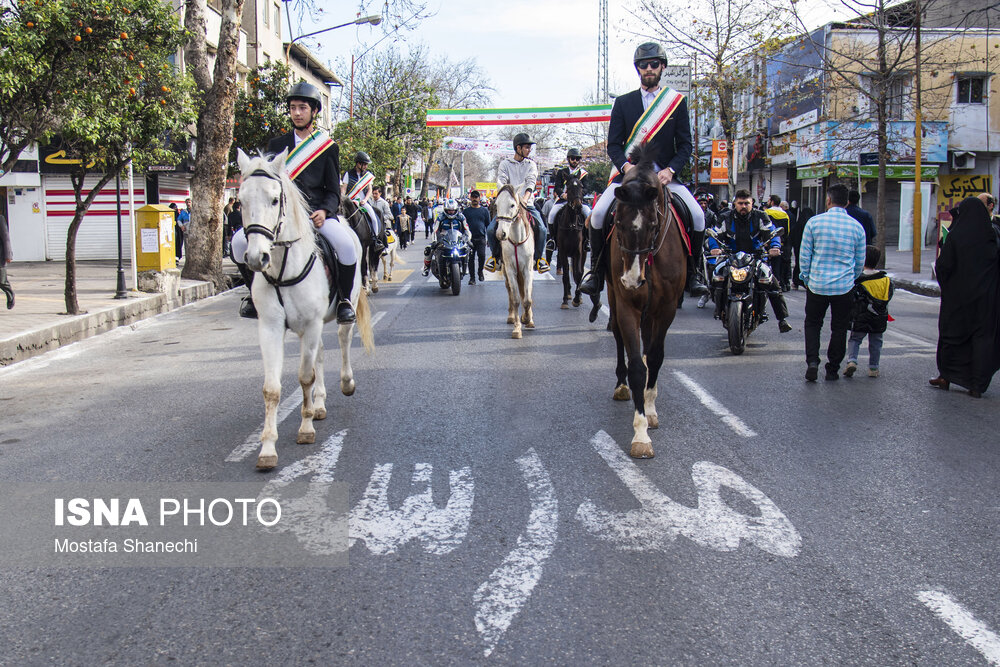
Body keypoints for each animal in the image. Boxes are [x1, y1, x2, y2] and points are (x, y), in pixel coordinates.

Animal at [236, 149, 374, 472]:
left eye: (275, 199)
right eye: (241, 200)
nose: (256, 257)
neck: (283, 267)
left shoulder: (310, 324)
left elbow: (305, 377)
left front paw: (306, 428)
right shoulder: (270, 327)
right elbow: (272, 388)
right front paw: (267, 448)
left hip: (342, 307)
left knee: (343, 340)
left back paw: (345, 384)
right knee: (321, 353)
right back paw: (320, 403)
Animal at [496, 184, 536, 336]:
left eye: (512, 205)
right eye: (496, 204)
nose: (500, 234)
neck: (517, 240)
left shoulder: (528, 270)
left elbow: (527, 299)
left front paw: (528, 319)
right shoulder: (511, 269)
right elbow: (516, 300)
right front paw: (517, 327)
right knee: (510, 292)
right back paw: (511, 317)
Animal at [608, 145, 688, 460]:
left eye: (653, 224)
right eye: (617, 221)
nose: (632, 281)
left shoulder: (666, 309)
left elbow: (654, 357)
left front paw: (650, 411)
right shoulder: (626, 304)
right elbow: (637, 367)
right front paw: (640, 434)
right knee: (619, 338)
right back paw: (621, 386)